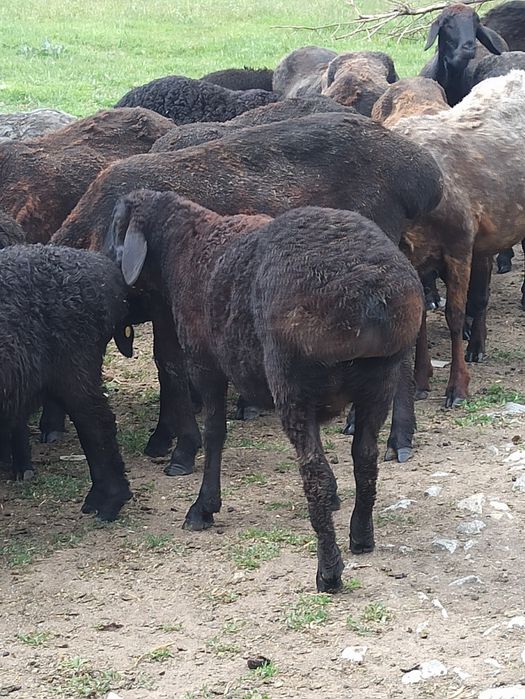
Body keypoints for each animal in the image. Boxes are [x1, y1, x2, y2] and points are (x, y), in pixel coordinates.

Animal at [52, 112, 443, 474]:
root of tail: (420, 170)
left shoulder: (166, 303)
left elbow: (172, 367)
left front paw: (181, 449)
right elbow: (168, 369)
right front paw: (164, 437)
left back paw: (399, 437)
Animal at [105, 190, 425, 592]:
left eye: (114, 227)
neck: (186, 248)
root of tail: (370, 295)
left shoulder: (206, 365)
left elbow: (215, 433)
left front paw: (203, 507)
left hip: (292, 382)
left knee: (314, 472)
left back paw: (328, 571)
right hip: (378, 380)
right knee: (364, 458)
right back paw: (361, 536)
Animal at [392, 71, 525, 406]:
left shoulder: (459, 246)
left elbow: (455, 314)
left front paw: (457, 386)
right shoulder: (415, 258)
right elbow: (421, 319)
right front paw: (421, 380)